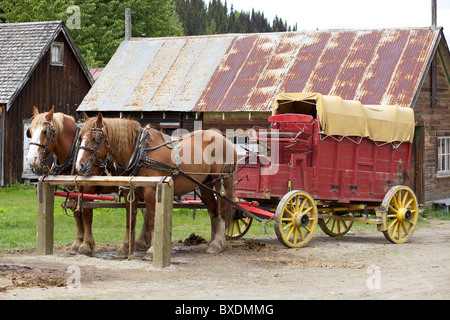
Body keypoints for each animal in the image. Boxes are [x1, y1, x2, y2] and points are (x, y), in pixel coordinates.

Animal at [26, 107, 149, 255]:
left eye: (45, 131)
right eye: (30, 132)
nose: (31, 159)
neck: (74, 152)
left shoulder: (88, 189)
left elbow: (86, 216)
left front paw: (86, 245)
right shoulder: (73, 189)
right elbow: (77, 215)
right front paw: (78, 242)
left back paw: (142, 241)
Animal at [75, 114, 237, 258]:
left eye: (95, 138)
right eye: (80, 137)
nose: (79, 166)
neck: (139, 151)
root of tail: (225, 140)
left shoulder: (151, 192)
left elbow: (153, 220)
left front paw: (152, 250)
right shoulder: (129, 192)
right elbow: (130, 221)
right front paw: (125, 248)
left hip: (222, 181)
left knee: (222, 212)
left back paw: (217, 243)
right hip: (204, 185)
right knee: (213, 211)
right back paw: (213, 241)